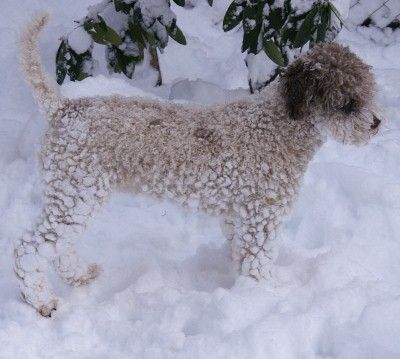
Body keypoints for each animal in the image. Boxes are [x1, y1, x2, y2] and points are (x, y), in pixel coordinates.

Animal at [15, 13, 382, 318]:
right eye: (348, 102)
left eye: (369, 90)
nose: (377, 123)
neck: (278, 127)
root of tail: (64, 108)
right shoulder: (261, 218)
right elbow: (257, 264)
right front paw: (269, 296)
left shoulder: (238, 217)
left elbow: (240, 255)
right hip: (76, 194)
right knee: (28, 249)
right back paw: (41, 300)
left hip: (76, 197)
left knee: (60, 246)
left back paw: (78, 276)